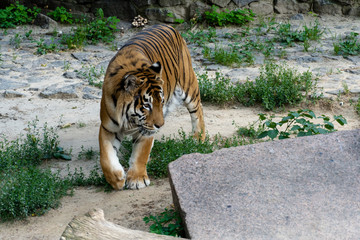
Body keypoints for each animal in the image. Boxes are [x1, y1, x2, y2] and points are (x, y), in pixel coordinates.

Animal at [98, 23, 205, 189]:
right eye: (147, 105)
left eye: (161, 101)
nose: (160, 125)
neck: (129, 119)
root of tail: (167, 25)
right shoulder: (108, 127)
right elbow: (105, 156)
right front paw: (116, 179)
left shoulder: (146, 131)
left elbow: (141, 154)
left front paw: (137, 179)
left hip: (188, 85)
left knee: (198, 109)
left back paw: (198, 138)